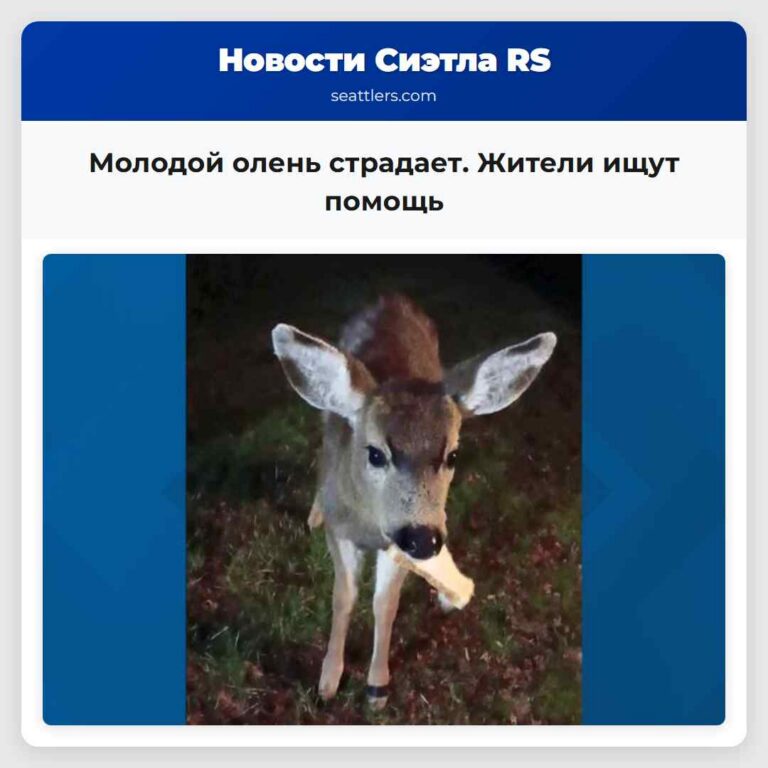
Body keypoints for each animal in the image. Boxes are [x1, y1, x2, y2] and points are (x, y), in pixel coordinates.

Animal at [271, 294, 556, 709]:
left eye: (453, 455)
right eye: (375, 453)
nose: (424, 539)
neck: (368, 523)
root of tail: (390, 297)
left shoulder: (397, 544)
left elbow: (385, 604)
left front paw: (377, 687)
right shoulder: (342, 531)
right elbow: (344, 597)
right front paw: (328, 680)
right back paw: (314, 512)